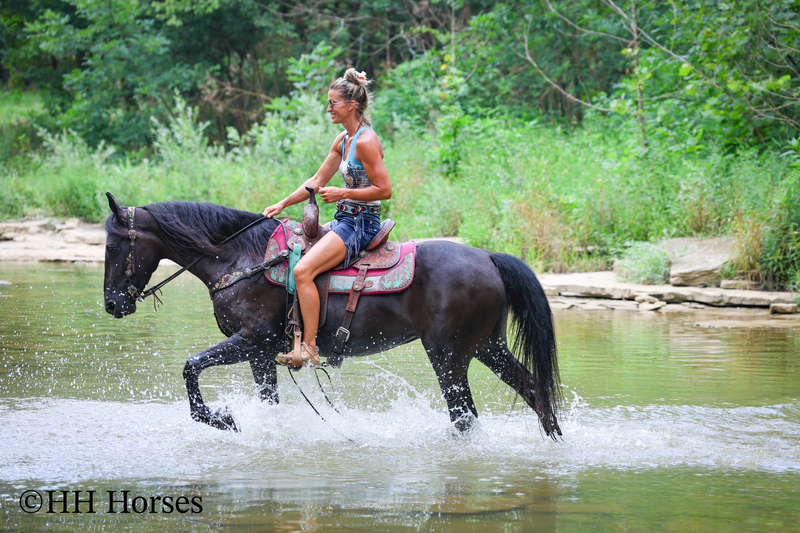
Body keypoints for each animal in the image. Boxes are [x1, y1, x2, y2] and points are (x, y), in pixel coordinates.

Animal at [102, 193, 562, 439]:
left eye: (112, 246)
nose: (111, 305)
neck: (241, 259)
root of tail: (488, 257)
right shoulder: (261, 354)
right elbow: (268, 401)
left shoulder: (251, 340)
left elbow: (191, 366)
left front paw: (221, 418)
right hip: (487, 347)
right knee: (533, 389)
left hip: (449, 357)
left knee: (465, 416)